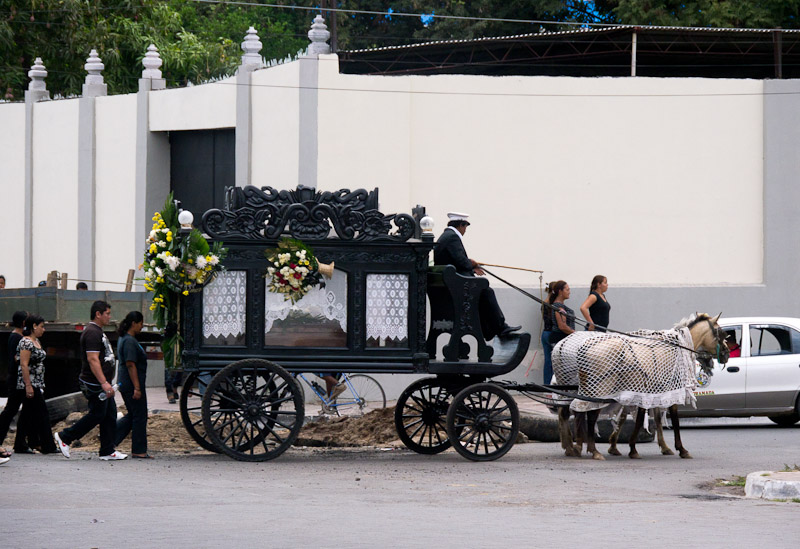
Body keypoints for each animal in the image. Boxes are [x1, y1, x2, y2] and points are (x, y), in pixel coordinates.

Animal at [552, 312, 728, 458]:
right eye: (721, 332)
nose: (726, 353)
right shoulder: (666, 391)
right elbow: (671, 418)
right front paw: (680, 449)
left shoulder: (649, 392)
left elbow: (643, 417)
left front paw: (627, 446)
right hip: (599, 389)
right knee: (586, 414)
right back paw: (589, 450)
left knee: (573, 412)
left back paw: (576, 447)